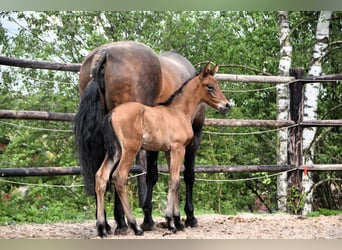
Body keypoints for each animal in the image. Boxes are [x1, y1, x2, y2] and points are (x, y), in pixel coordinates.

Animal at [95, 62, 231, 236]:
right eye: (210, 86)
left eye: (217, 84)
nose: (226, 106)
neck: (179, 111)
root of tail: (112, 113)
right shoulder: (178, 148)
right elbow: (174, 181)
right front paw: (171, 222)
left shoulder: (168, 151)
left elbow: (175, 179)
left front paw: (177, 221)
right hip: (130, 150)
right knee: (119, 177)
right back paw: (135, 226)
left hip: (115, 151)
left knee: (101, 176)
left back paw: (101, 228)